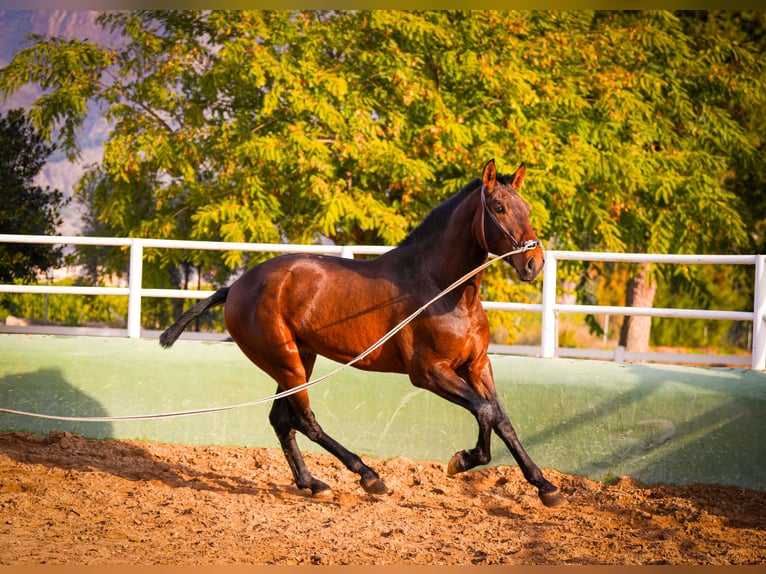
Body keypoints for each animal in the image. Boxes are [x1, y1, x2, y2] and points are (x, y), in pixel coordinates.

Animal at [162, 159, 568, 508]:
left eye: (526, 208)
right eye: (499, 208)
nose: (534, 263)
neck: (444, 290)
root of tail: (236, 287)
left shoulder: (477, 365)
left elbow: (501, 419)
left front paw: (546, 487)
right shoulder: (429, 373)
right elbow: (484, 411)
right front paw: (461, 461)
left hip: (299, 359)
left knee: (281, 420)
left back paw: (313, 484)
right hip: (287, 361)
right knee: (304, 421)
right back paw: (369, 477)